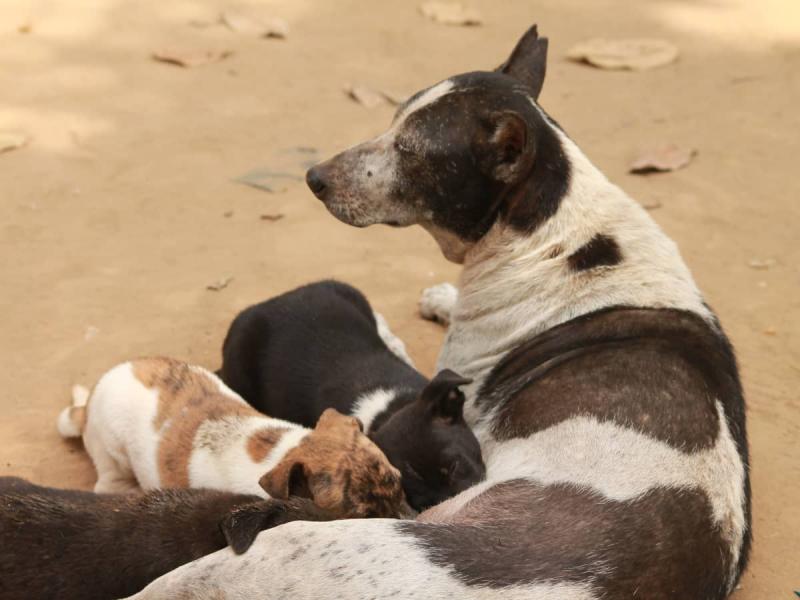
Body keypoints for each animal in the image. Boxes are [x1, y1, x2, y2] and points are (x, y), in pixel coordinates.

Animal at [57, 356, 410, 520]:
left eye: (400, 485)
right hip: (113, 453)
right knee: (108, 482)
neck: (285, 450)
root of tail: (89, 402)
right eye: (366, 518)